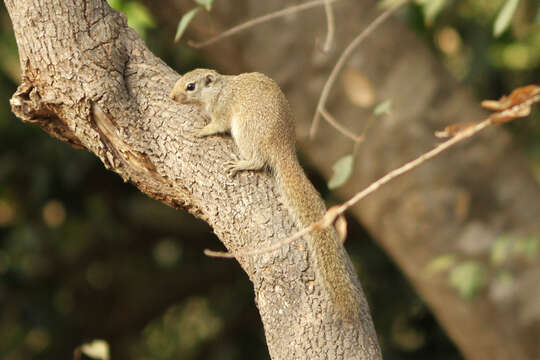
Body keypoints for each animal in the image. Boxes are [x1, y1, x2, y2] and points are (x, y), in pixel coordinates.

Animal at [171, 69, 360, 322]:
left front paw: (201, 130)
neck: (220, 90)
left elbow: (216, 125)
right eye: (181, 79)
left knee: (258, 160)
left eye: (190, 86)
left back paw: (242, 163)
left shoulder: (223, 111)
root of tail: (283, 147)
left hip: (246, 130)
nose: (172, 97)